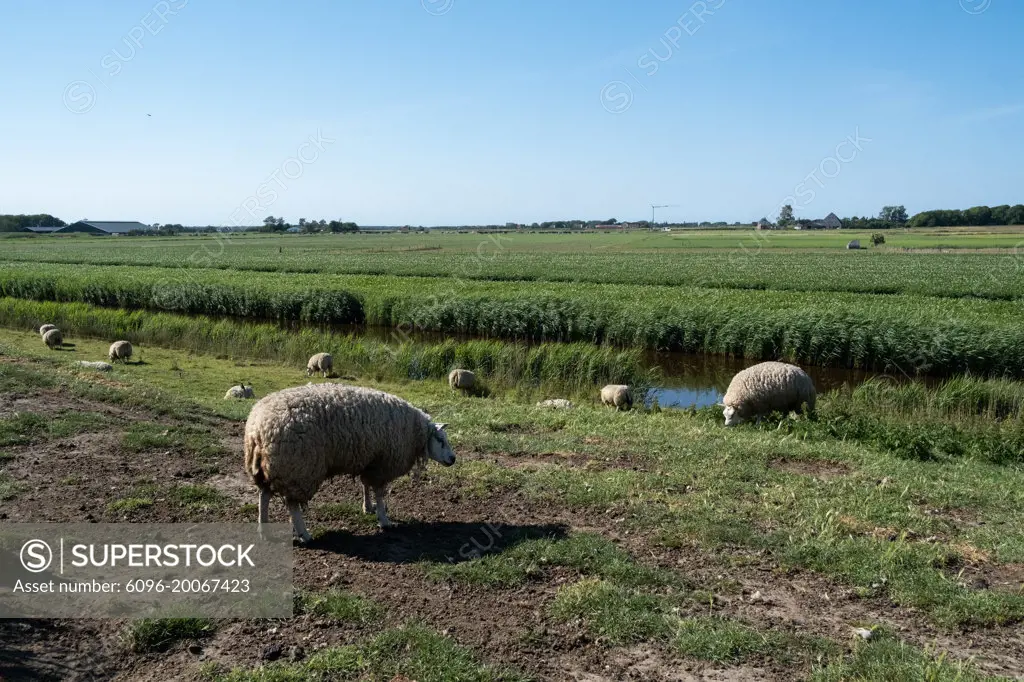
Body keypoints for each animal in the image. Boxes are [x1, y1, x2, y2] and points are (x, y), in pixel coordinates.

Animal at [243, 382, 456, 540]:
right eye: (440, 439)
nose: (453, 459)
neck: (413, 432)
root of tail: (257, 428)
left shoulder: (370, 461)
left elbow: (365, 486)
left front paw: (367, 507)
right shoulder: (382, 465)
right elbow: (379, 494)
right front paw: (384, 520)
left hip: (268, 469)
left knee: (264, 495)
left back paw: (264, 530)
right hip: (299, 469)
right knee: (292, 505)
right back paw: (304, 534)